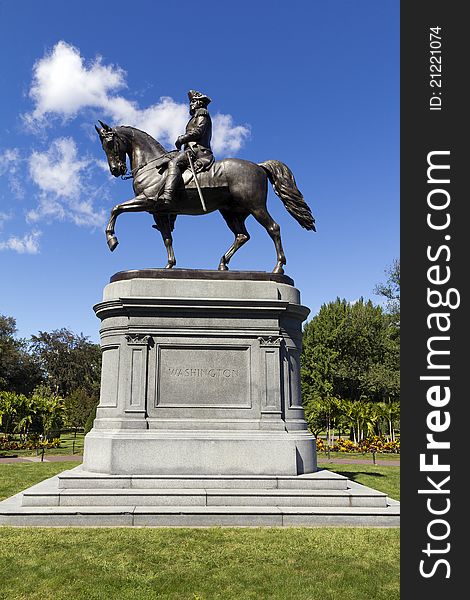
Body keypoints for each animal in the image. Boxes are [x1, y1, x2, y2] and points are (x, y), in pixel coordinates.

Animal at [95, 120, 316, 274]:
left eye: (110, 143)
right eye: (103, 146)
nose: (116, 170)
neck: (151, 165)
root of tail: (259, 166)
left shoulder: (146, 200)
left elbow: (116, 209)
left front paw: (111, 240)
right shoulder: (159, 212)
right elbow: (167, 238)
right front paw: (169, 265)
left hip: (255, 206)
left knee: (273, 228)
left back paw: (278, 267)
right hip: (231, 212)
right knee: (242, 236)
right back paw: (223, 264)